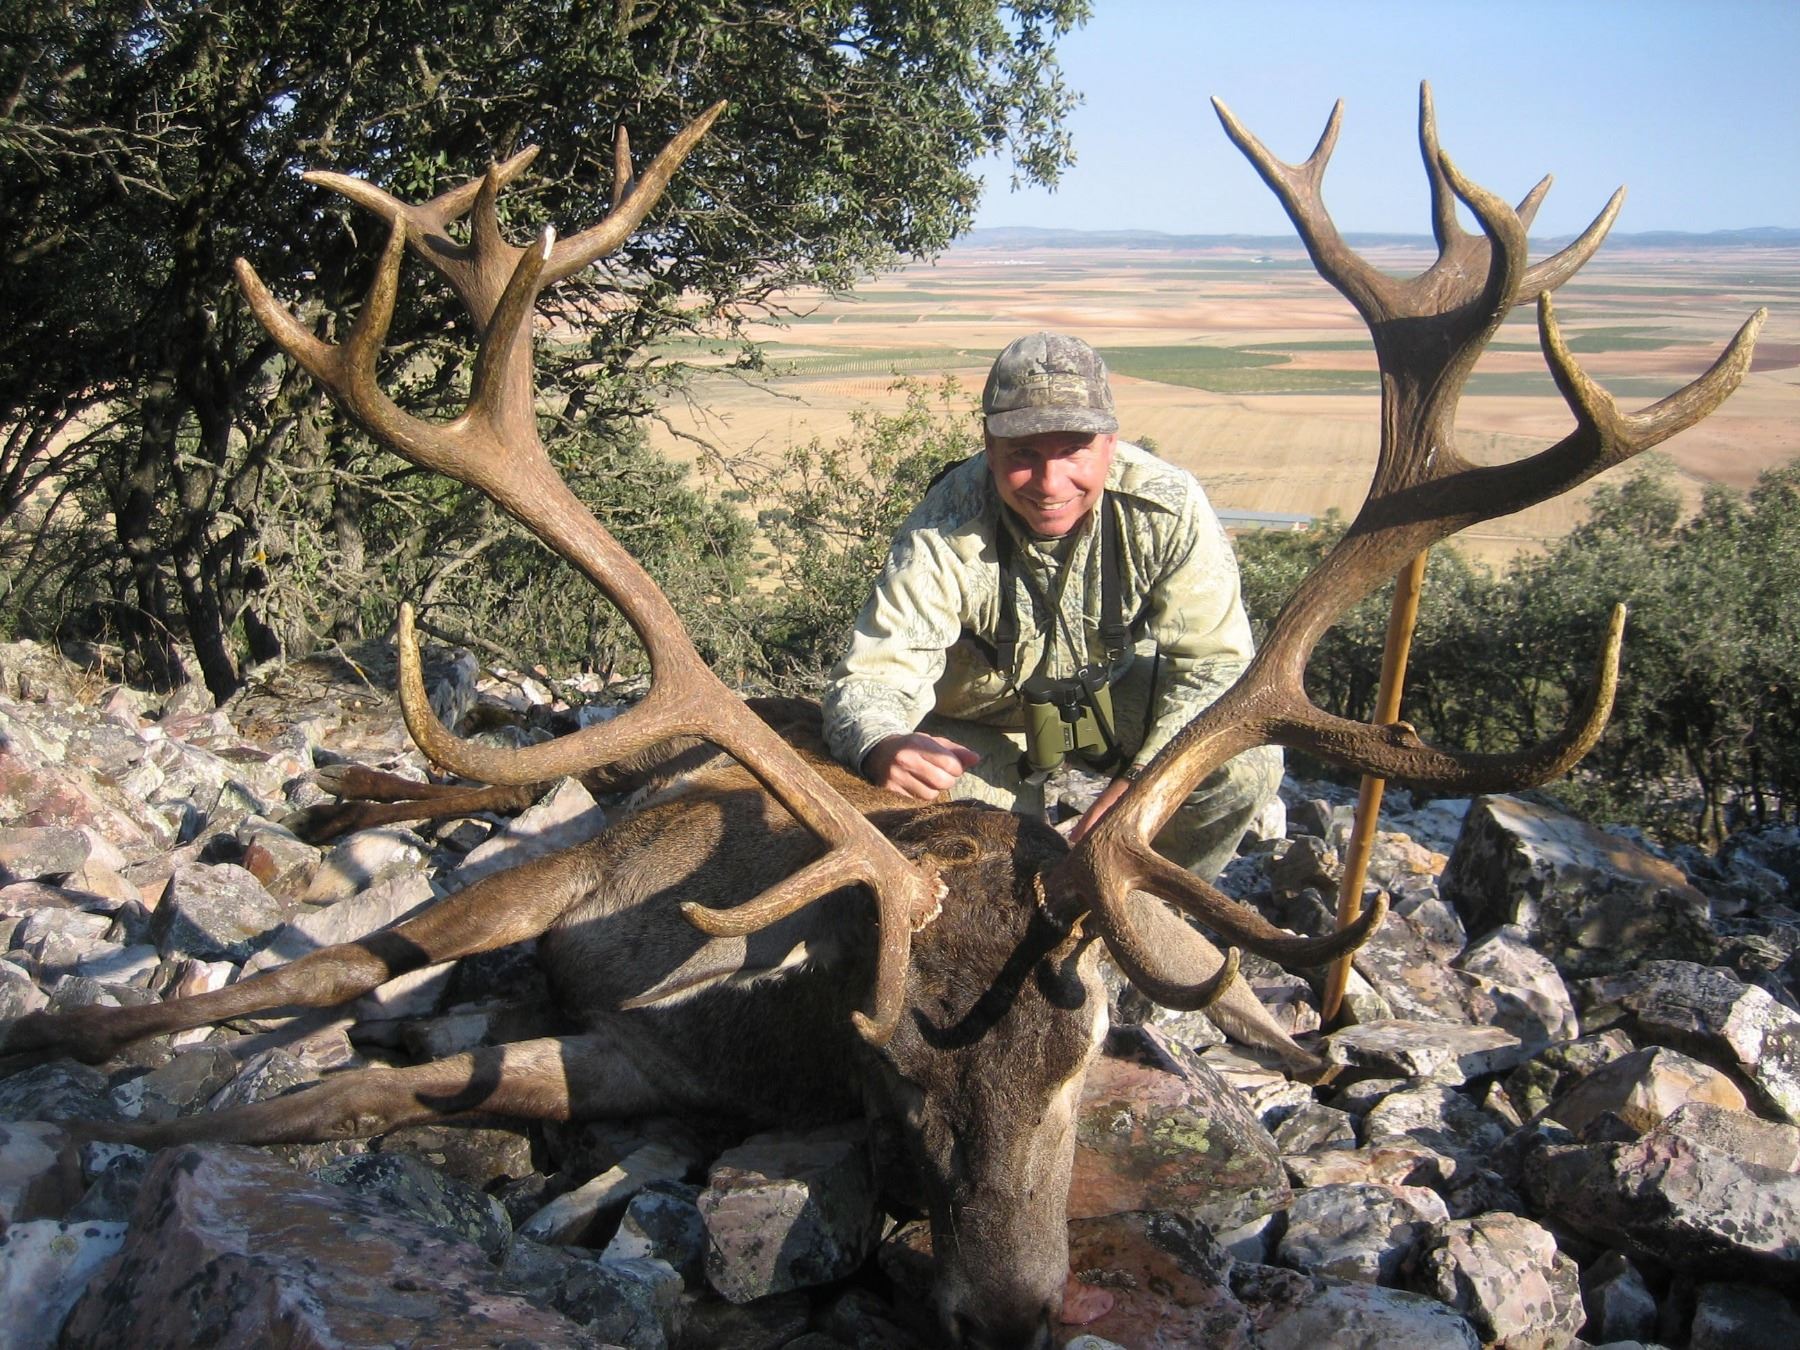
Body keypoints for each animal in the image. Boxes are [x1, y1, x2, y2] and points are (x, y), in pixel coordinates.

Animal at [0, 86, 1761, 1350]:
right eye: (891, 1057)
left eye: (1088, 1051)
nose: (1009, 1310)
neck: (779, 1019)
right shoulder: (618, 950)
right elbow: (316, 1036)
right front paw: (114, 1098)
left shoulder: (650, 1059)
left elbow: (367, 1087)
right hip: (559, 829)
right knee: (390, 879)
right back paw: (206, 911)